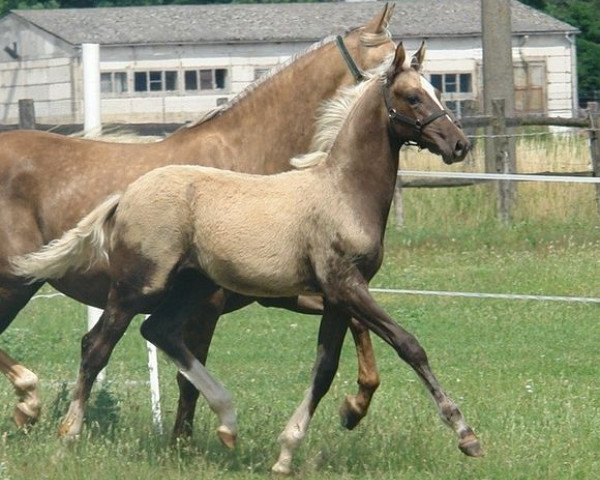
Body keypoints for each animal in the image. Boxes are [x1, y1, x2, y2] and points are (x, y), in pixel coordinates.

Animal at [12, 41, 482, 472]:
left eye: (438, 90)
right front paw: (466, 434)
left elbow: (325, 370)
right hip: (138, 287)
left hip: (192, 287)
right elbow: (409, 344)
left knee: (159, 332)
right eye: (412, 96)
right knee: (97, 345)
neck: (342, 191)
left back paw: (227, 421)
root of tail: (125, 193)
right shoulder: (345, 285)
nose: (459, 145)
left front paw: (287, 452)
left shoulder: (336, 296)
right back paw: (67, 435)